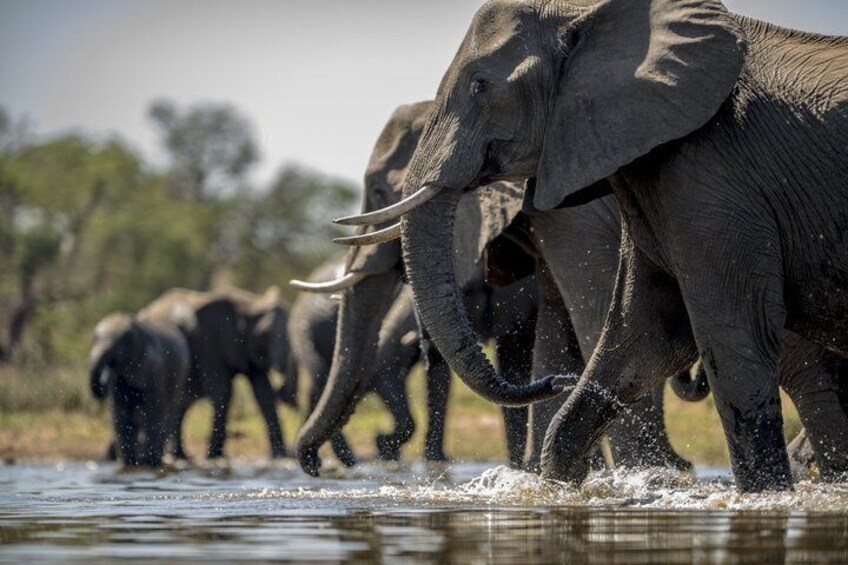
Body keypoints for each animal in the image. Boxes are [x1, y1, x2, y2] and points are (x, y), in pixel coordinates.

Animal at [90, 312, 190, 468]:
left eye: (121, 343)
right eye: (93, 338)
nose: (103, 379)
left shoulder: (155, 367)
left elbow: (153, 409)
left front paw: (149, 462)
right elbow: (121, 412)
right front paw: (128, 463)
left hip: (180, 375)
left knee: (169, 412)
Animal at [140, 286, 292, 460]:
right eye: (265, 334)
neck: (250, 304)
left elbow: (263, 393)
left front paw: (280, 456)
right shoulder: (208, 341)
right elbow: (222, 390)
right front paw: (214, 456)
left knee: (181, 403)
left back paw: (181, 455)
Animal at [294, 100, 693, 476]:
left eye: (379, 191)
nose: (315, 466)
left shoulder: (574, 218)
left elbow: (594, 317)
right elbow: (551, 332)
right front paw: (539, 475)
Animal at [345, 0, 848, 491]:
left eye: (480, 85)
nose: (557, 383)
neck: (589, 13)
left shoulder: (709, 175)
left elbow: (728, 332)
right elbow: (641, 334)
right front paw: (560, 486)